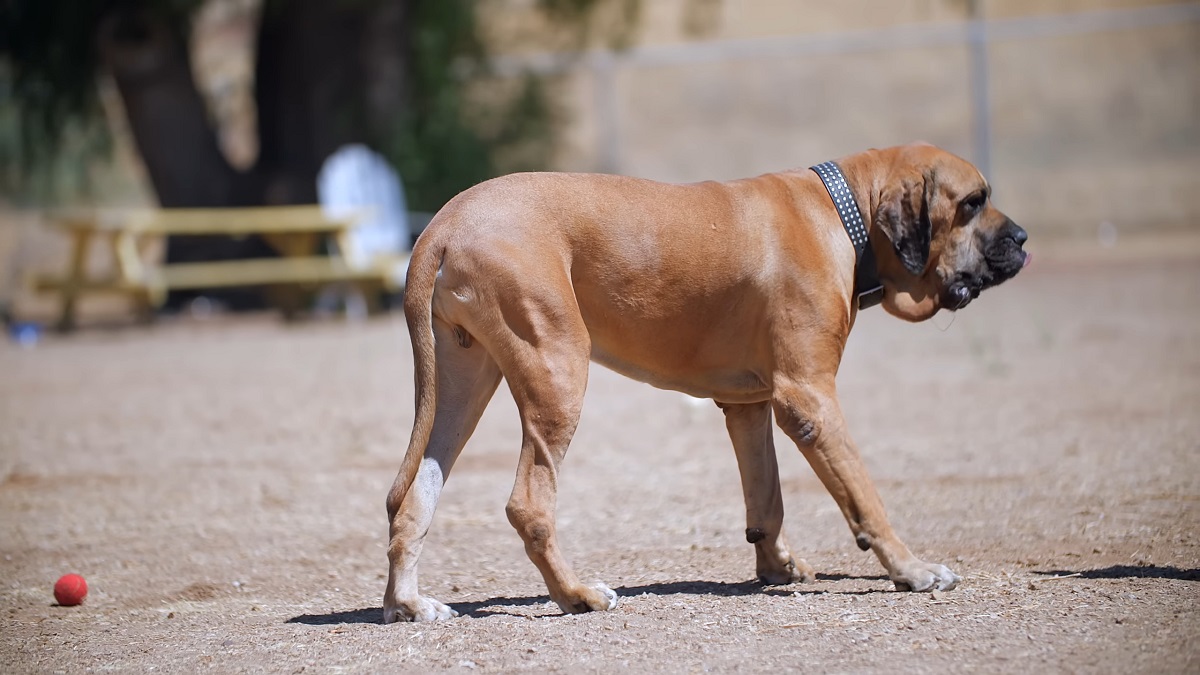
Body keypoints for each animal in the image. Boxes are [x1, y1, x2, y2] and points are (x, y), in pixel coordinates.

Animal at [384, 141, 1032, 619]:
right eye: (973, 203)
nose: (1023, 240)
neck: (843, 211)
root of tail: (444, 223)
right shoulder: (811, 399)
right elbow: (865, 497)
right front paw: (912, 571)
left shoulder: (750, 404)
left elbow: (767, 496)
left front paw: (777, 567)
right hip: (557, 372)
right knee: (528, 505)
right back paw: (577, 595)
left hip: (460, 389)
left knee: (413, 498)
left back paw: (409, 604)